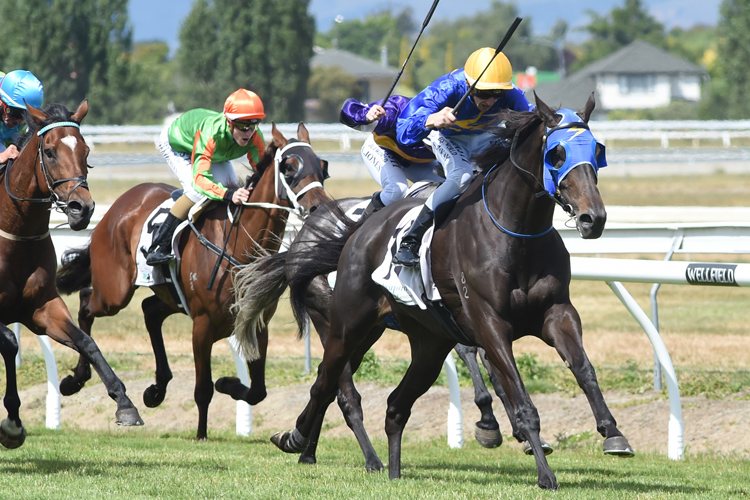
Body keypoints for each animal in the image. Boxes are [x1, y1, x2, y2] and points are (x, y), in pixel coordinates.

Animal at [0, 99, 144, 448]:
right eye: (50, 152)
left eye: (86, 150)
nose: (83, 208)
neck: (16, 233)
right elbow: (10, 342)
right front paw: (11, 422)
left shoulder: (41, 308)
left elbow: (86, 342)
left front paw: (125, 404)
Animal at [57, 123, 330, 440]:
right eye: (289, 167)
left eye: (322, 166)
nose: (319, 207)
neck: (238, 245)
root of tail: (118, 206)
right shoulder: (202, 325)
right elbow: (203, 389)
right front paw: (201, 434)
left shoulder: (256, 321)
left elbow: (257, 391)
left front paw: (228, 384)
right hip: (115, 292)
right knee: (87, 304)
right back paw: (75, 380)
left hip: (168, 294)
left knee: (149, 310)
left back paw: (156, 389)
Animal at [264, 94, 636, 488]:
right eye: (557, 154)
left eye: (598, 150)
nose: (593, 218)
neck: (515, 232)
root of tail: (352, 233)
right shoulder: (488, 323)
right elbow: (518, 395)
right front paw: (540, 467)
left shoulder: (557, 312)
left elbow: (583, 368)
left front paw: (613, 433)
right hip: (344, 325)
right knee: (327, 382)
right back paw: (299, 440)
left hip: (420, 341)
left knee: (390, 402)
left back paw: (368, 463)